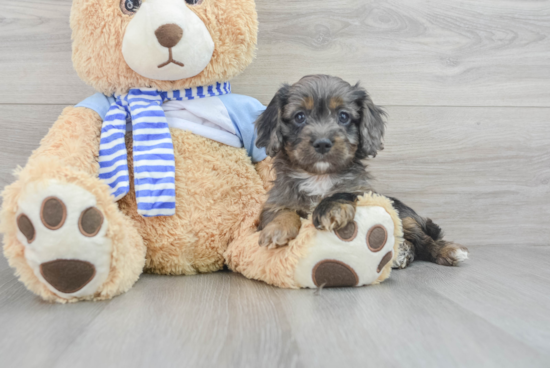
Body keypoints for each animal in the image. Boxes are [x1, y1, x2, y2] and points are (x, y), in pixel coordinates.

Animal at [256, 74, 470, 268]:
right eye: (299, 116)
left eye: (343, 116)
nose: (322, 143)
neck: (319, 177)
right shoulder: (277, 200)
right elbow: (281, 212)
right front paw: (277, 229)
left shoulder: (361, 191)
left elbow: (343, 193)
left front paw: (332, 208)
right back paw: (402, 253)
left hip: (403, 216)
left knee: (423, 240)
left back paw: (447, 250)